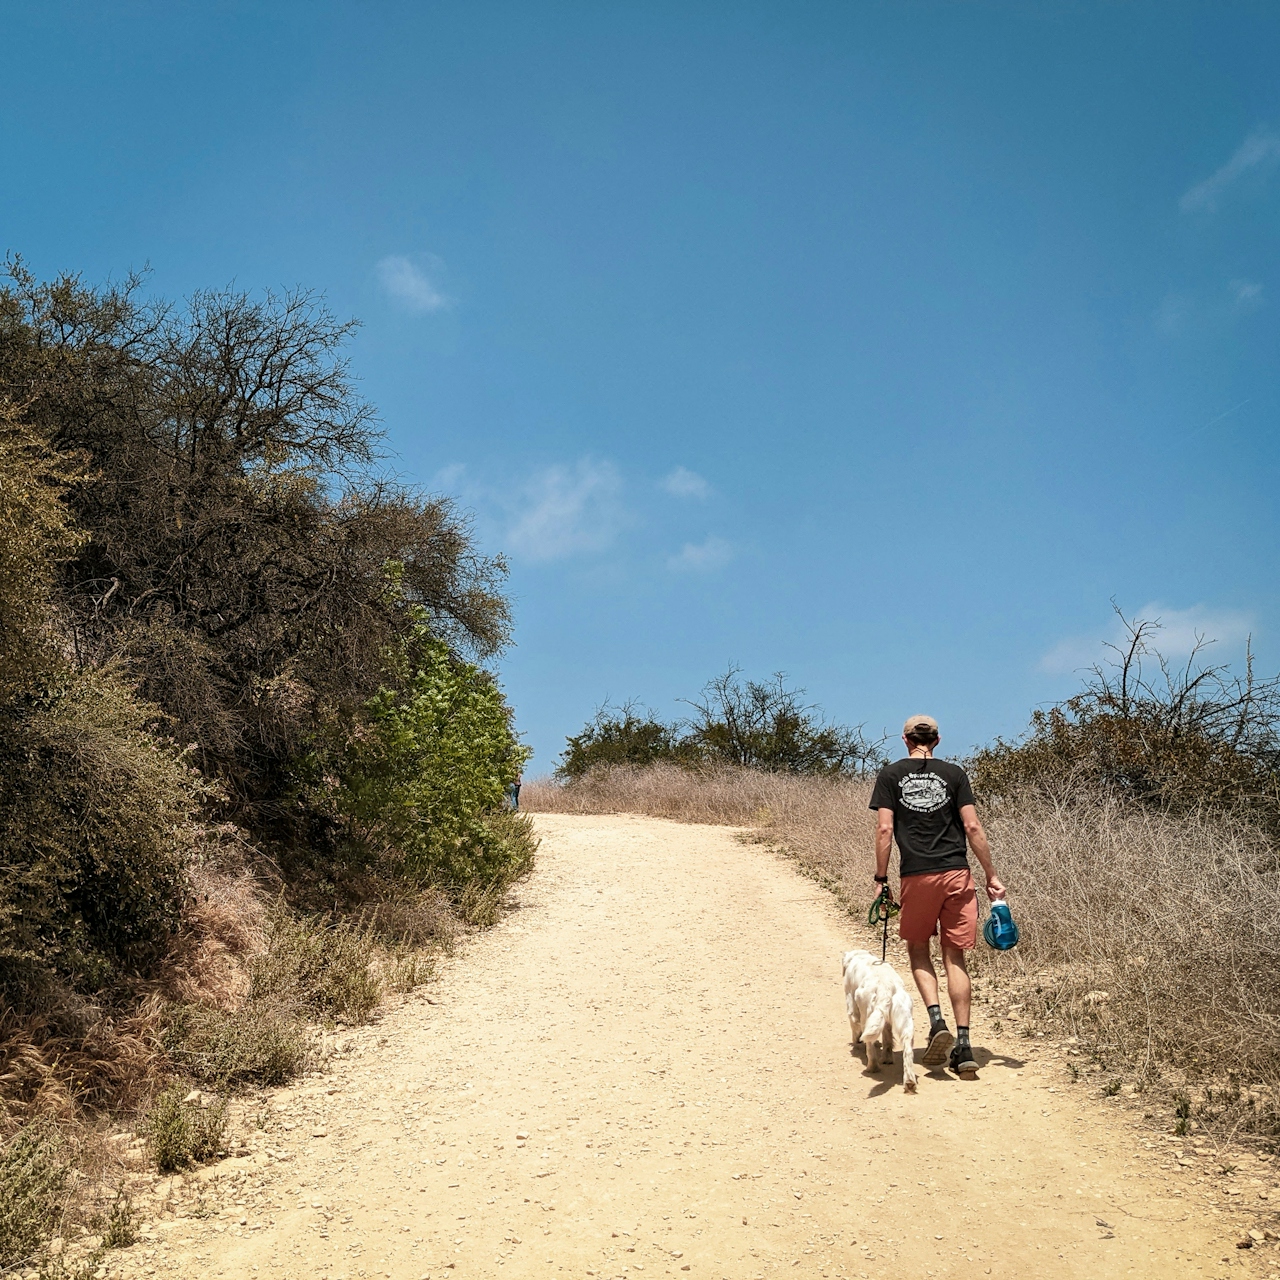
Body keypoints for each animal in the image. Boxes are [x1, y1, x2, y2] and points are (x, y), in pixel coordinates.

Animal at [844, 947, 916, 1095]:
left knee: (870, 1046)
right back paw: (908, 1081)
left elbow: (854, 1027)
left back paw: (872, 1067)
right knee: (907, 1050)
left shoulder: (851, 1004)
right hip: (905, 1020)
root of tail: (886, 987)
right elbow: (887, 1038)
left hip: (866, 1013)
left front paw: (856, 1041)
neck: (861, 956)